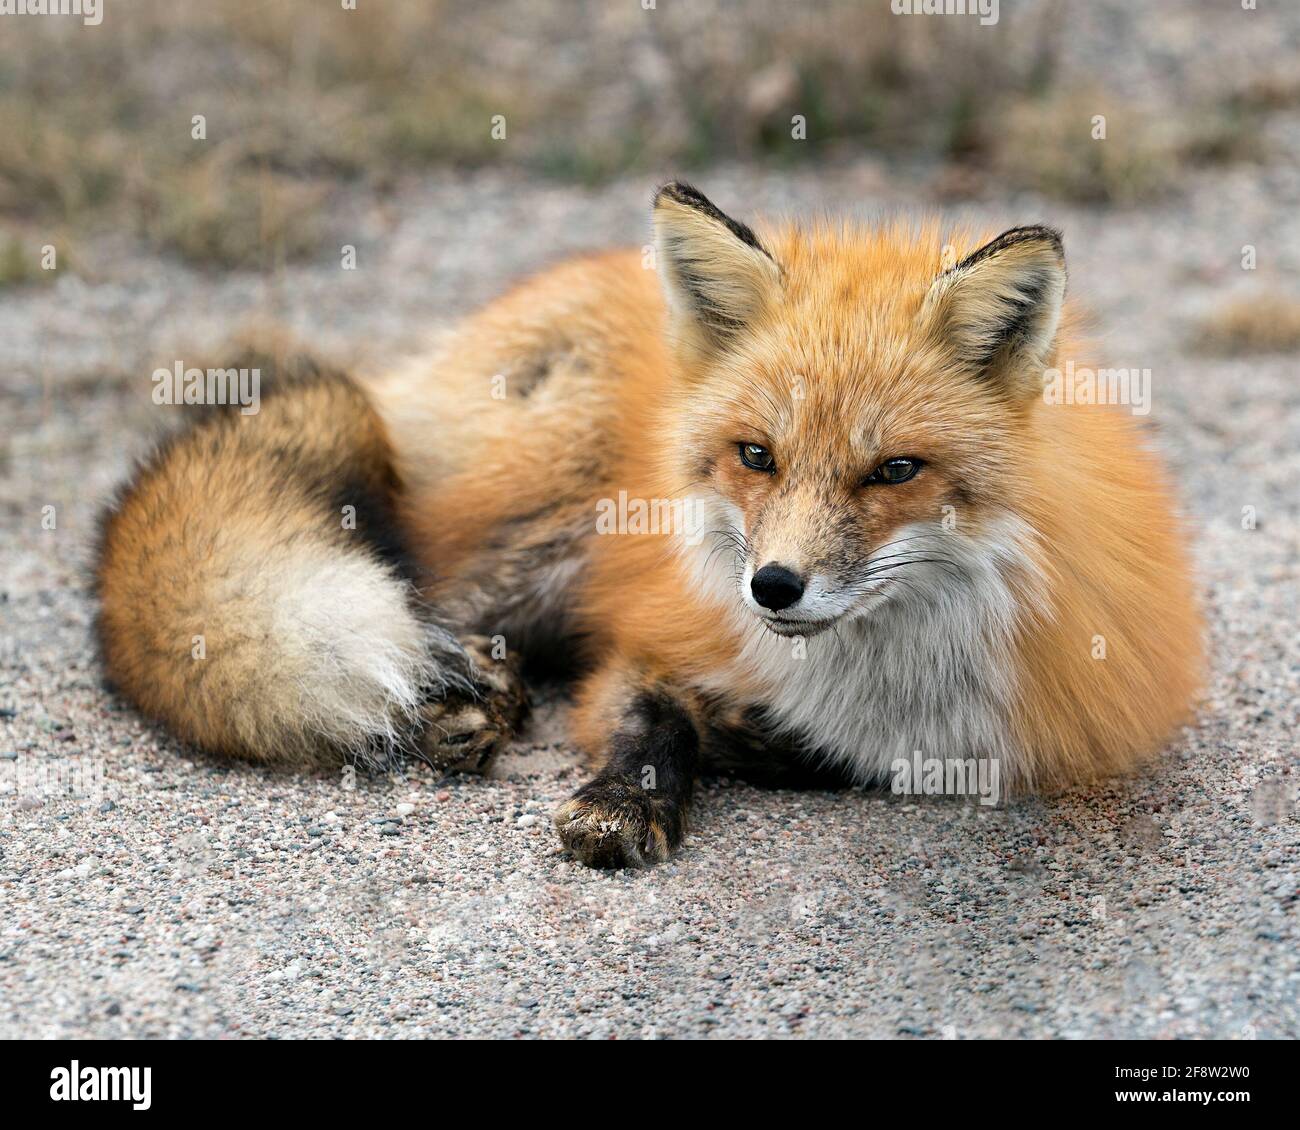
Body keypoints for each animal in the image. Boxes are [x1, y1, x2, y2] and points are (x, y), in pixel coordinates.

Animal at [95, 182, 1204, 868]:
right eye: (756, 455)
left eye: (894, 470)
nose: (773, 587)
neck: (870, 675)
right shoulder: (647, 628)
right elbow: (645, 716)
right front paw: (628, 798)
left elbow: (842, 754)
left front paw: (750, 739)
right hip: (551, 528)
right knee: (428, 598)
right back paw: (460, 693)